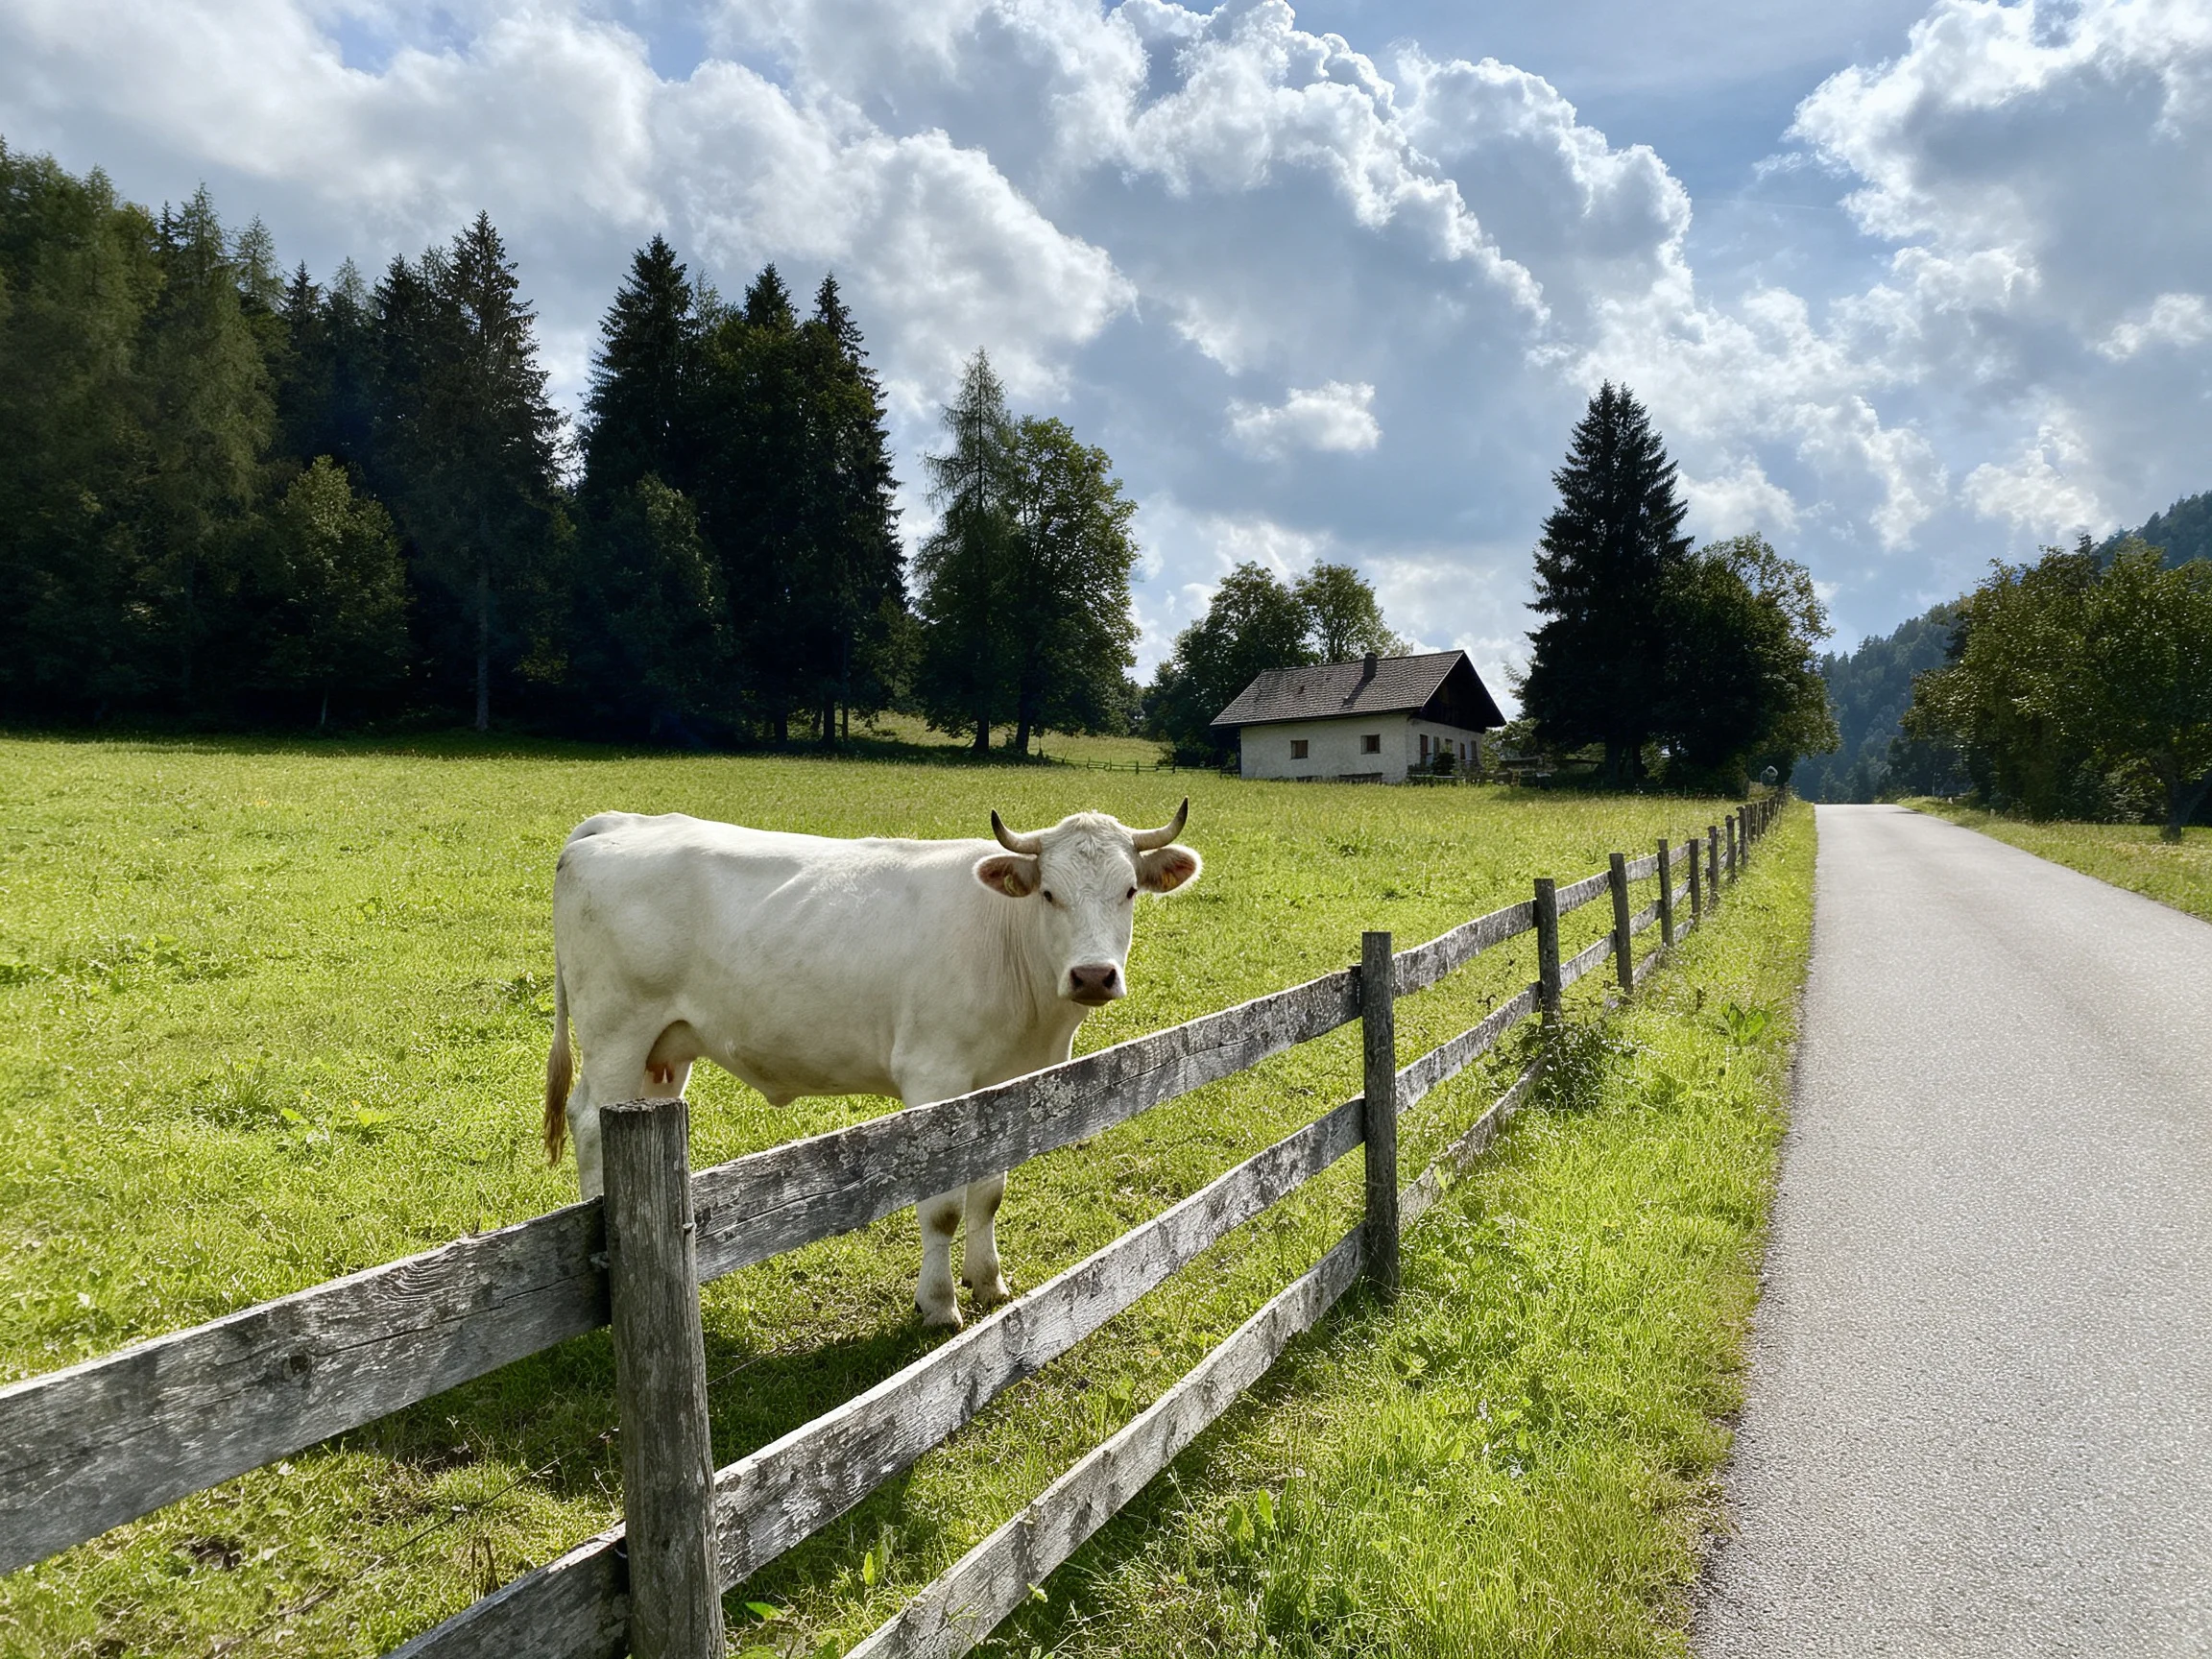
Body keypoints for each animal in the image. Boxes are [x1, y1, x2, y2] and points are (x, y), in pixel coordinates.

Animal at [542, 801, 1202, 1327]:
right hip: (616, 1030)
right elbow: (943, 1207)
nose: (1092, 975)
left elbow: (988, 1192)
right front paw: (938, 1305)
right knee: (591, 1123)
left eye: (1129, 891)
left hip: (666, 1048)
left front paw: (988, 1282)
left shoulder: (1007, 1084)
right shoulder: (934, 1078)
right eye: (1049, 893)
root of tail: (619, 823)